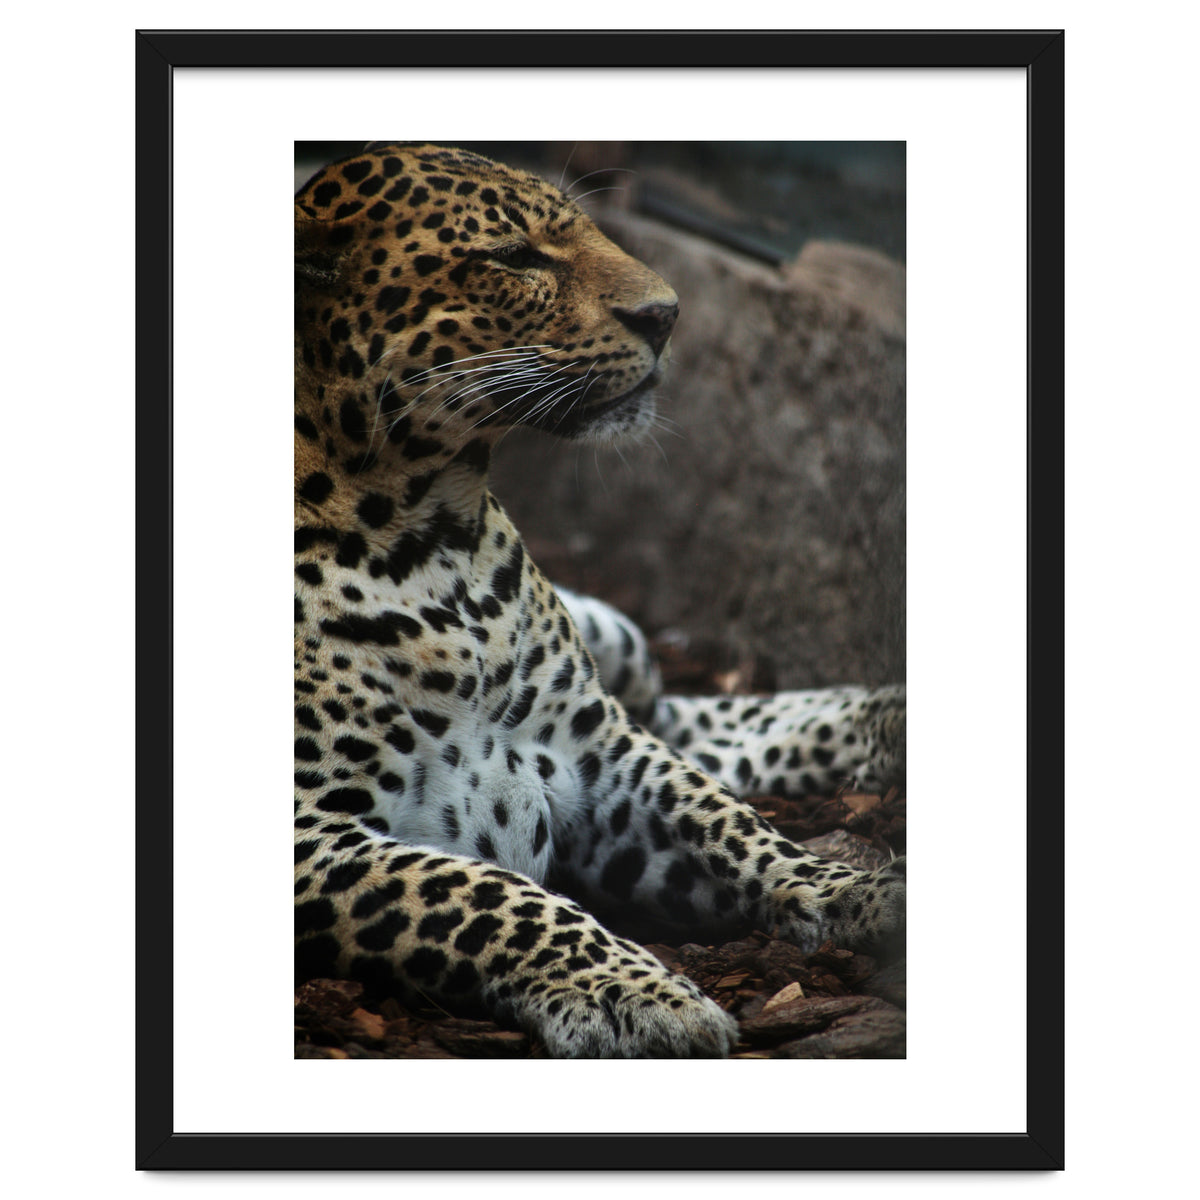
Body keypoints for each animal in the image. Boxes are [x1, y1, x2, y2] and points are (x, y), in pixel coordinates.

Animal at [294, 143, 906, 1058]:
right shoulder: (310, 835)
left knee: (683, 718)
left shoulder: (598, 752)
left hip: (620, 652)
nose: (668, 314)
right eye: (514, 257)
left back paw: (886, 718)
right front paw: (637, 994)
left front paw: (855, 891)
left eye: (582, 229)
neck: (433, 538)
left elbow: (728, 821)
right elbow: (486, 895)